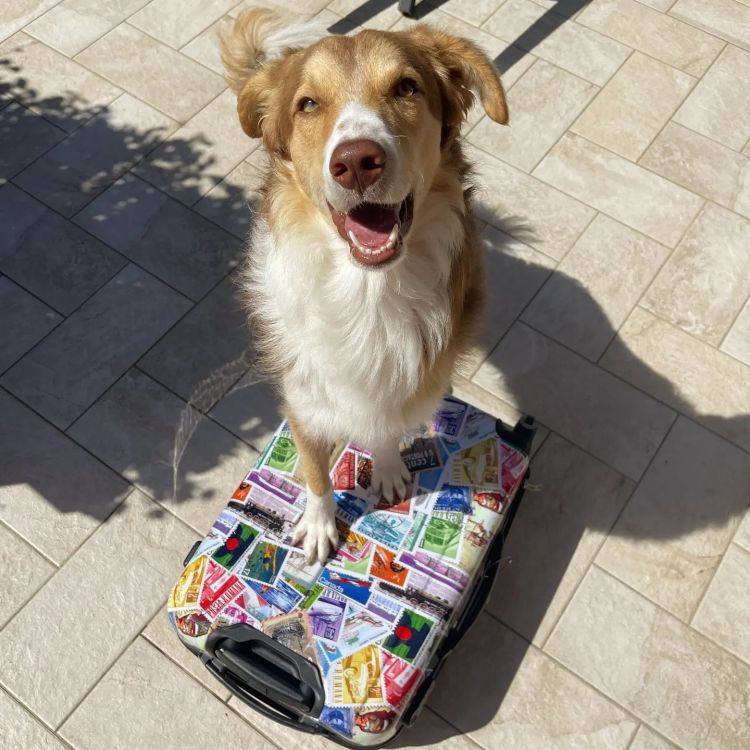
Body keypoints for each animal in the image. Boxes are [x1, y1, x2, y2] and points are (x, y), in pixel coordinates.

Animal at [221, 8, 508, 564]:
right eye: (308, 104)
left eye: (406, 87)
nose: (355, 161)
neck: (367, 292)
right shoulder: (303, 392)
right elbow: (315, 469)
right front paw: (318, 525)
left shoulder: (412, 375)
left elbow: (389, 421)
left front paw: (390, 466)